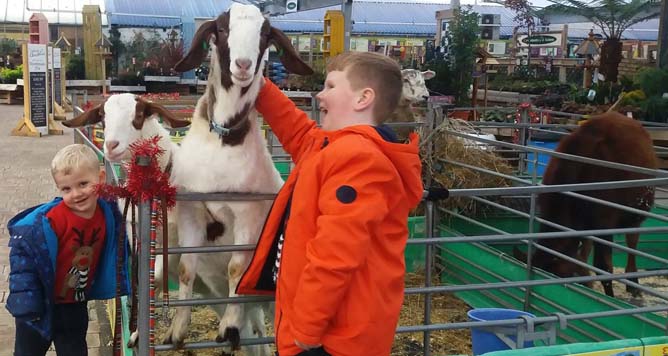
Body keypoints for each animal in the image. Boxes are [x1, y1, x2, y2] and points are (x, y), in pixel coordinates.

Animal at [167, 2, 314, 354]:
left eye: (265, 34)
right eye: (221, 29)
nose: (244, 65)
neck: (222, 138)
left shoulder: (248, 212)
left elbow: (237, 268)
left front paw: (228, 327)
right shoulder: (191, 208)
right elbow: (186, 267)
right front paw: (177, 331)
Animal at [520, 112, 656, 298]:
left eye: (561, 275)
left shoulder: (604, 223)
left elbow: (603, 267)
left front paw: (609, 297)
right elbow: (584, 260)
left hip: (637, 210)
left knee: (632, 242)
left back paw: (633, 281)